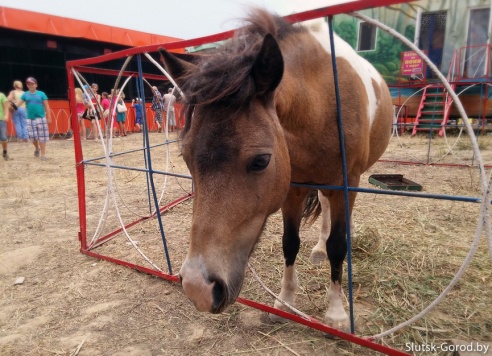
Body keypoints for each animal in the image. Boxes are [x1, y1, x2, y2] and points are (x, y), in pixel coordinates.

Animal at [160, 9, 394, 330]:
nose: (199, 288)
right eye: (186, 157)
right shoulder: (293, 189)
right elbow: (289, 244)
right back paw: (318, 249)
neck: (321, 103)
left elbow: (338, 245)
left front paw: (336, 313)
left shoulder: (345, 183)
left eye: (261, 161)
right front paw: (284, 301)